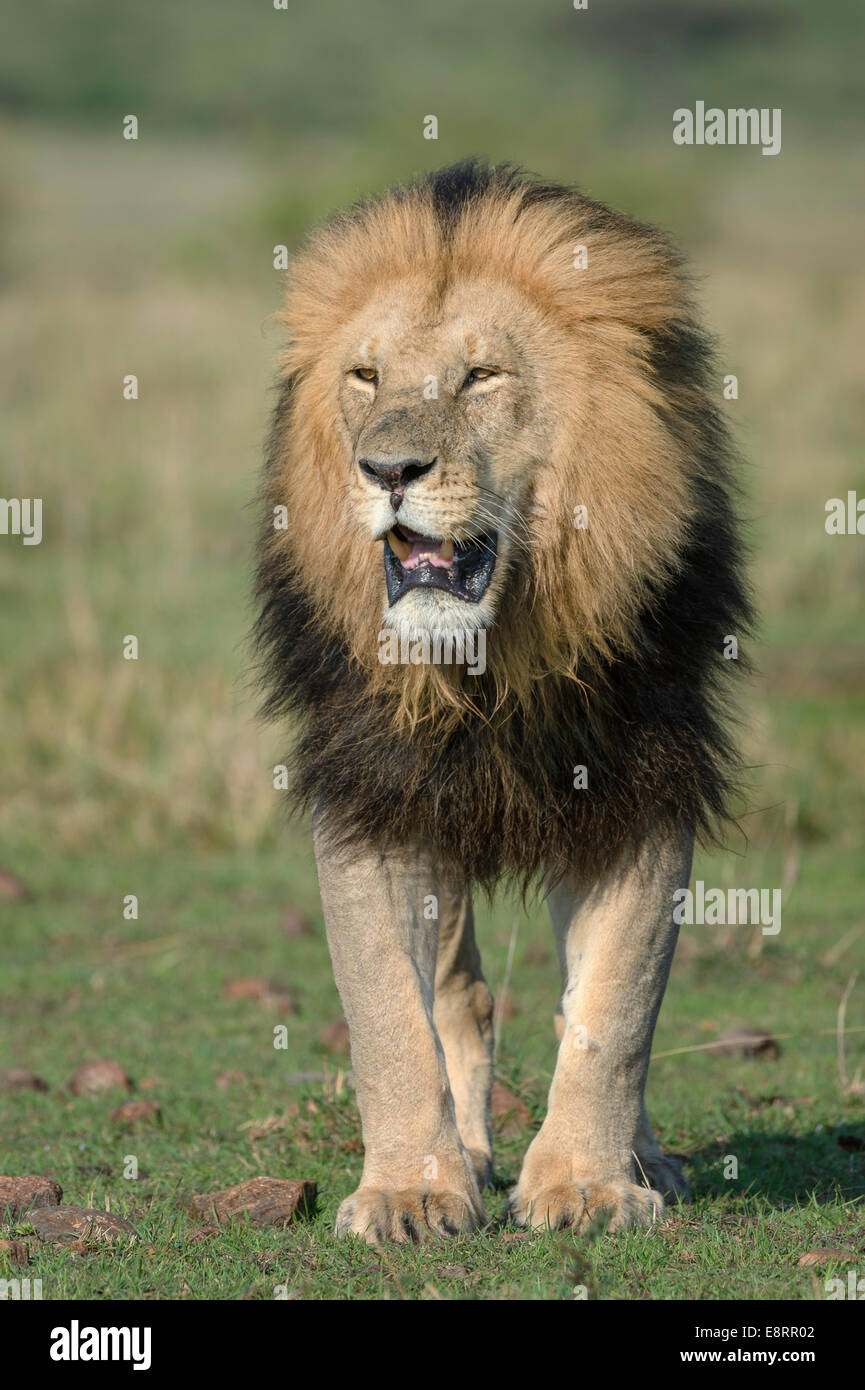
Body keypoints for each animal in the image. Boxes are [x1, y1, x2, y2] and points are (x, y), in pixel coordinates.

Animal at [255, 159, 750, 1239]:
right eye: (365, 378)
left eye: (481, 377)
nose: (387, 469)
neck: (490, 664)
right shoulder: (370, 797)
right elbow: (387, 1017)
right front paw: (409, 1190)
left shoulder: (641, 786)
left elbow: (613, 1011)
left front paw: (588, 1185)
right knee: (460, 996)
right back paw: (471, 1155)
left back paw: (642, 1158)